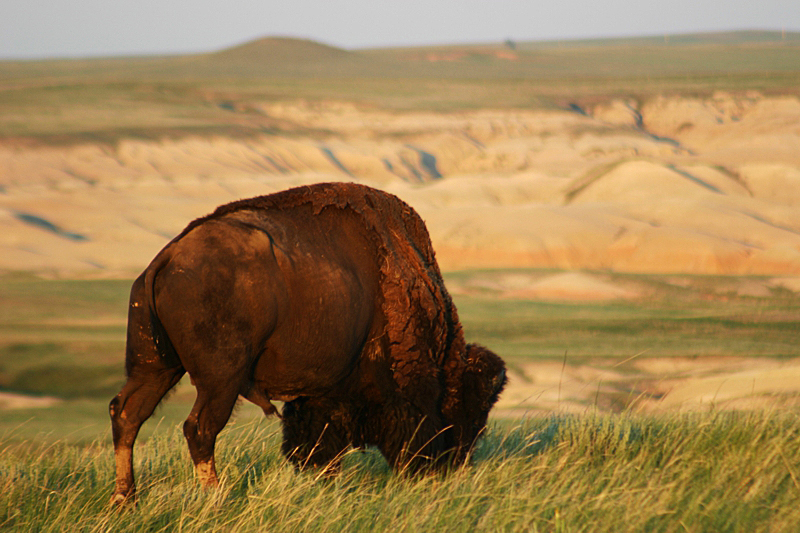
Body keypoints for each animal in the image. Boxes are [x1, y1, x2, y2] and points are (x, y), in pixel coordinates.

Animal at [108, 181, 504, 500]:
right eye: (468, 403)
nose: (456, 463)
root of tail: (167, 258)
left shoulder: (320, 392)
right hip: (220, 379)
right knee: (199, 428)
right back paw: (215, 496)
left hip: (154, 367)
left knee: (127, 414)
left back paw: (126, 500)